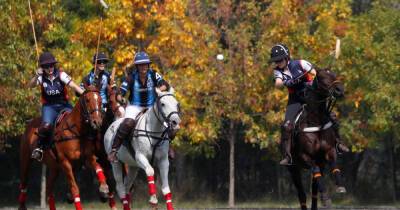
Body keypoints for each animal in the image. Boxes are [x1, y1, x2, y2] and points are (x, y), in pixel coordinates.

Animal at [288, 68, 346, 210]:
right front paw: (326, 198)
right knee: (302, 194)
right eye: (323, 78)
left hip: (319, 163)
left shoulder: (329, 152)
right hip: (293, 168)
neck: (315, 120)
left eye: (334, 75)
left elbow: (334, 165)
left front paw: (340, 186)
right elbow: (315, 171)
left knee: (314, 190)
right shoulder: (305, 156)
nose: (340, 90)